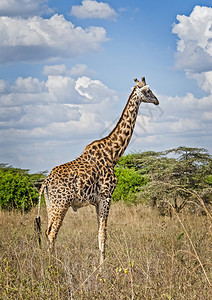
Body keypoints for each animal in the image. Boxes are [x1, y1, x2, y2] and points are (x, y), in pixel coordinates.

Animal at [34, 76, 159, 266]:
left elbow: (98, 232)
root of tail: (46, 182)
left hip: (50, 204)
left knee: (49, 231)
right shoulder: (106, 196)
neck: (113, 154)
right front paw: (102, 267)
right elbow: (103, 234)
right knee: (51, 233)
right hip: (60, 204)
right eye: (147, 90)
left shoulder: (96, 201)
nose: (157, 101)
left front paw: (101, 264)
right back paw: (52, 266)